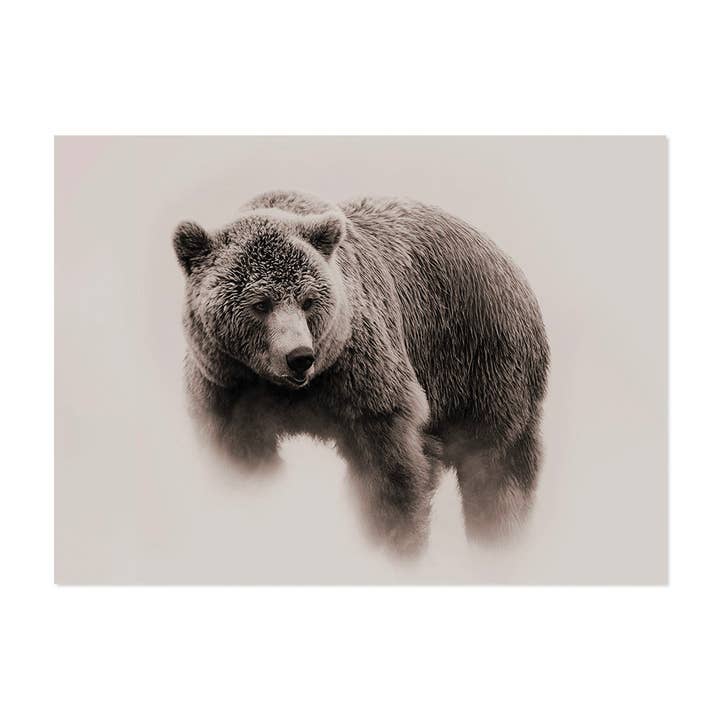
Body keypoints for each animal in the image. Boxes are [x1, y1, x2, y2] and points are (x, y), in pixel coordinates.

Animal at [173, 190, 549, 556]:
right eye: (261, 303)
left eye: (308, 300)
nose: (299, 357)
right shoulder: (225, 389)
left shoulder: (365, 378)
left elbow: (391, 470)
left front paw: (395, 540)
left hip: (485, 358)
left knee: (496, 466)